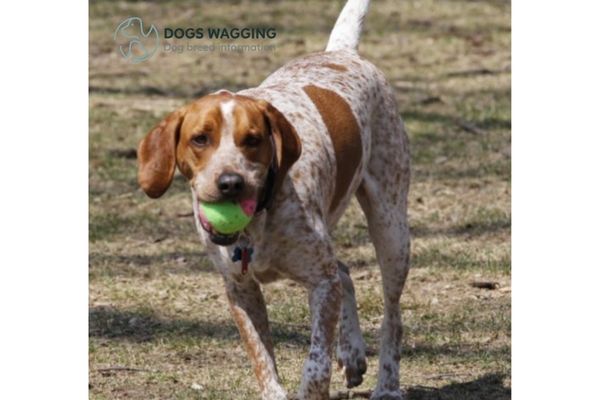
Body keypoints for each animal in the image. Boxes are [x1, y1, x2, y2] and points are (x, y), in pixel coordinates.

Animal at [137, 1, 410, 398]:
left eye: (253, 139)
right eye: (200, 139)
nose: (230, 183)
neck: (256, 227)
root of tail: (341, 52)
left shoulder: (321, 284)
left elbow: (316, 365)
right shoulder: (241, 291)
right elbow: (263, 362)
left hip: (391, 229)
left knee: (392, 316)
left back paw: (387, 385)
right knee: (344, 272)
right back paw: (353, 352)